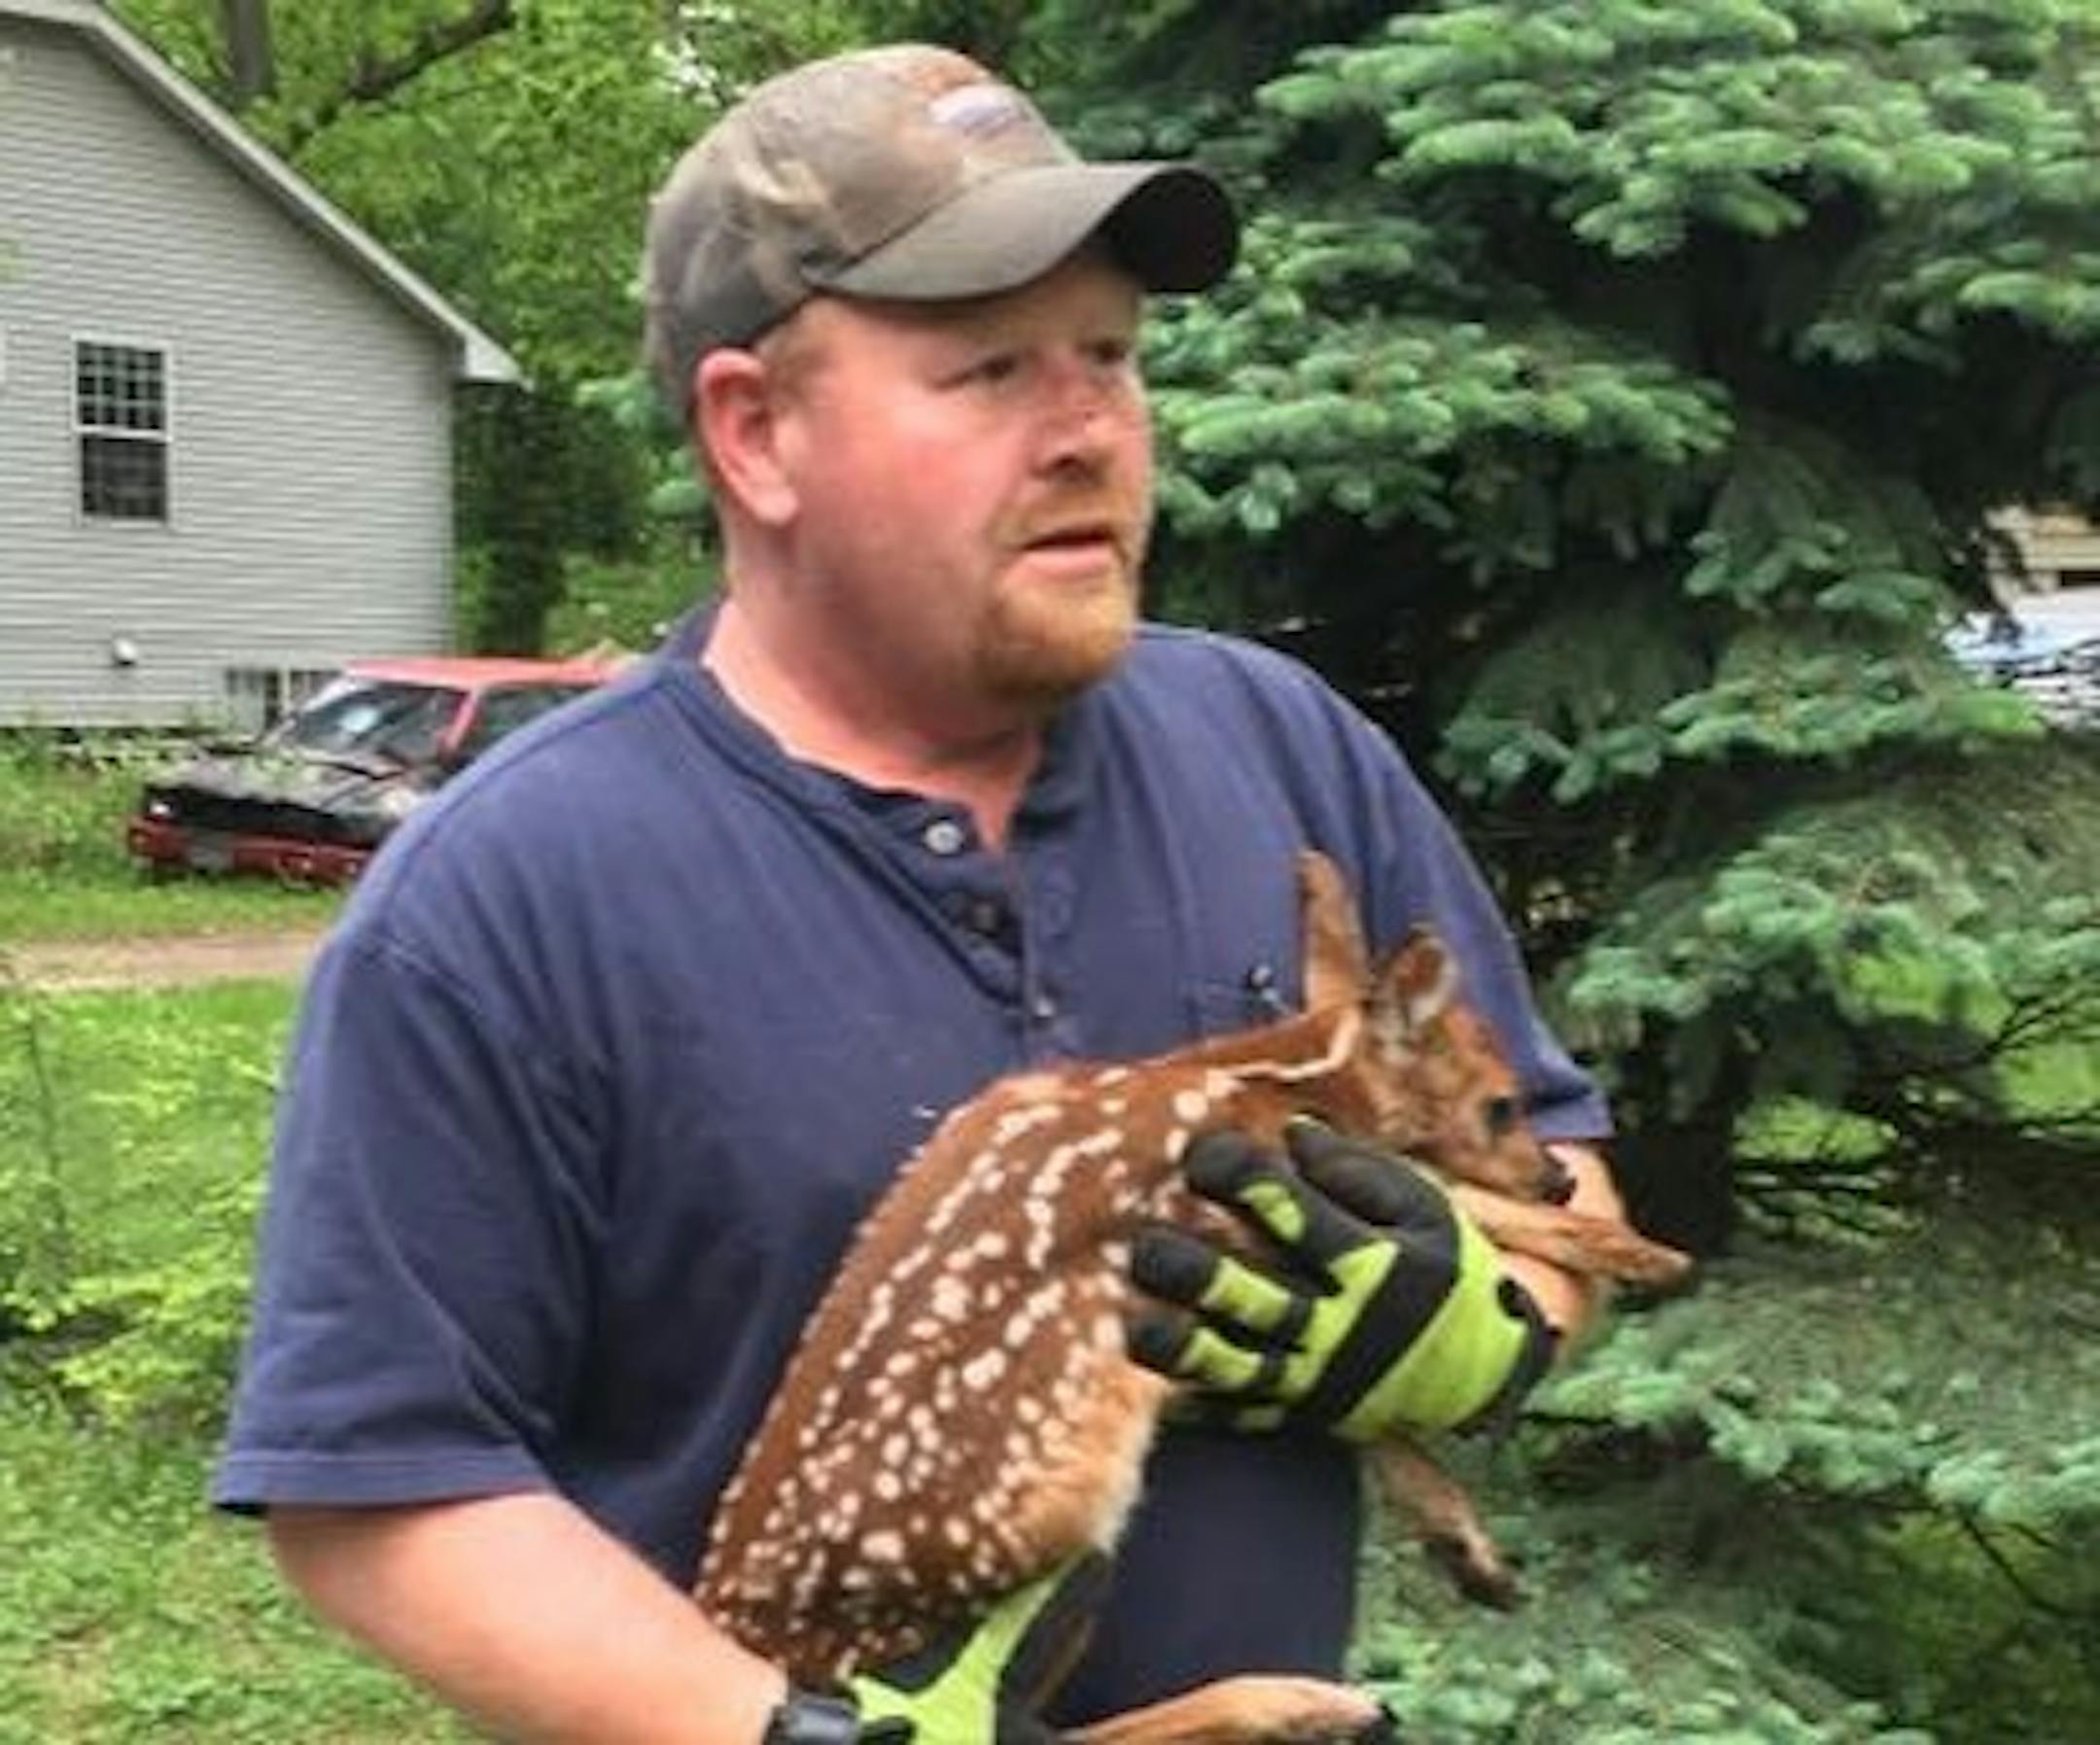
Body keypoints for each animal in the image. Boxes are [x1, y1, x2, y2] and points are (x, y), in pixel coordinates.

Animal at [694, 850, 1692, 1744]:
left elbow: (1364, 1389)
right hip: (1045, 1544)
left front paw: (1470, 1549)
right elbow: (1459, 1202)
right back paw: (1298, 1703)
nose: (1561, 1172)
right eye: (1499, 1104)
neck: (1254, 1077)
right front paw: (1647, 1253)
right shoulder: (1239, 1205)